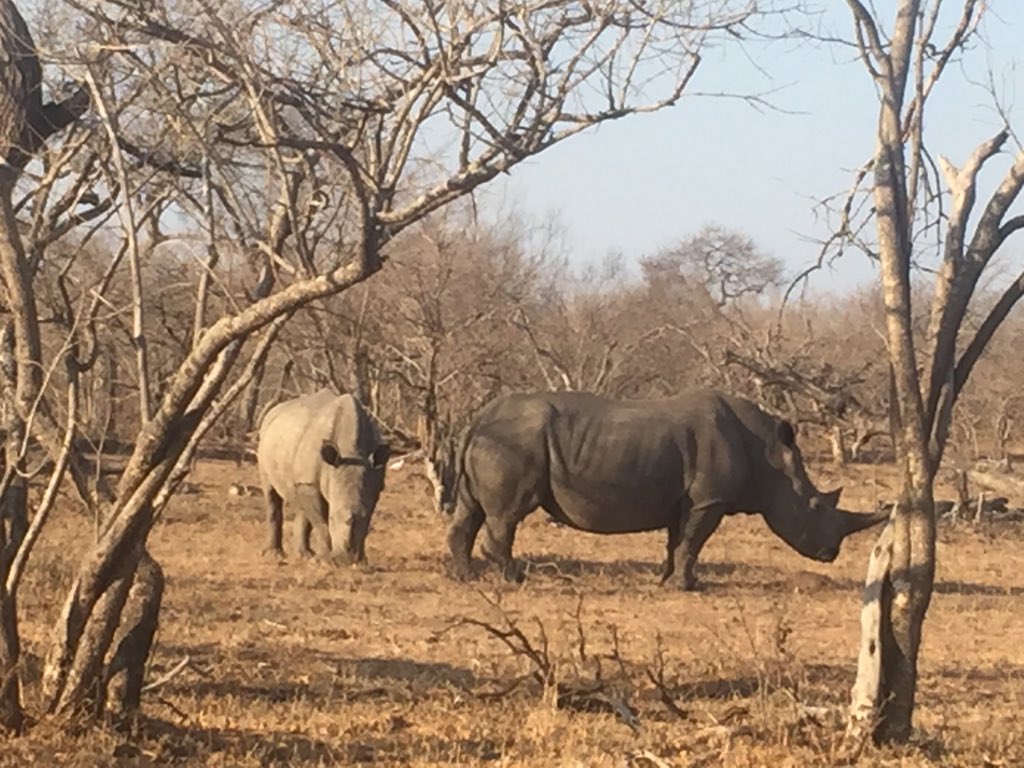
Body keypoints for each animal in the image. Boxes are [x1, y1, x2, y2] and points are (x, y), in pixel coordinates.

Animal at [258, 390, 390, 563]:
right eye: (332, 518)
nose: (346, 560)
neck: (352, 452)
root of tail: (275, 410)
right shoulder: (310, 482)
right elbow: (321, 523)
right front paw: (326, 562)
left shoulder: (375, 484)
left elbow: (366, 513)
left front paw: (362, 561)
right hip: (265, 439)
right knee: (271, 494)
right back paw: (275, 555)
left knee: (301, 503)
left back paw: (303, 556)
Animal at [445, 390, 886, 588]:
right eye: (814, 506)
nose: (831, 554)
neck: (771, 457)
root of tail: (477, 418)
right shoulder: (709, 500)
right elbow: (693, 541)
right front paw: (689, 588)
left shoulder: (688, 499)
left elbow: (678, 541)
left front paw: (669, 581)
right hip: (515, 442)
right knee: (507, 514)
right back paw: (513, 578)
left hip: (494, 440)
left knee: (470, 510)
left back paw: (466, 577)